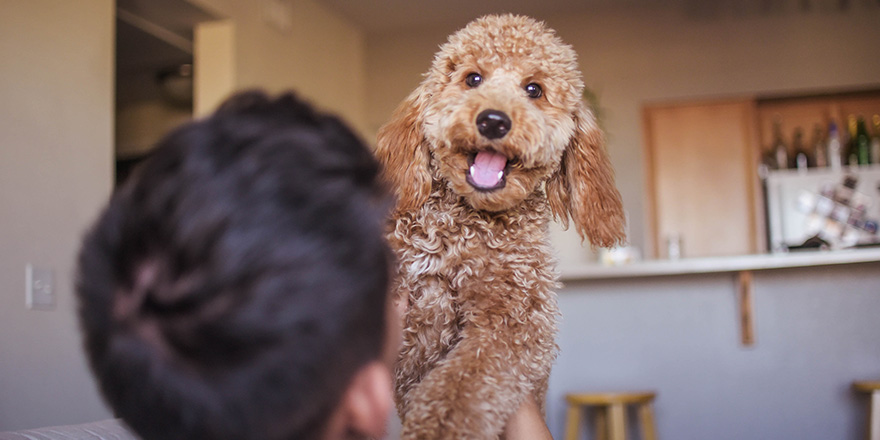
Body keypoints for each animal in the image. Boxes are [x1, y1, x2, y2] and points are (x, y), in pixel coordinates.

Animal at [376, 13, 624, 440]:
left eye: (534, 90)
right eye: (473, 78)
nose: (493, 120)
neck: (462, 227)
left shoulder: (516, 321)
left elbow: (462, 388)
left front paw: (437, 429)